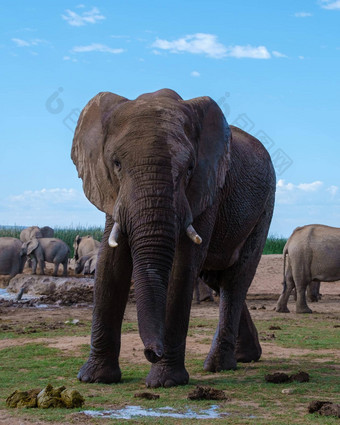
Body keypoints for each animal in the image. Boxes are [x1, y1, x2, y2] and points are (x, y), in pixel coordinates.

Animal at [71, 89, 276, 388]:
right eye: (116, 164)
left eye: (189, 168)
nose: (151, 352)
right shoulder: (112, 191)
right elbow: (111, 262)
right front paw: (94, 379)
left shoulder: (207, 188)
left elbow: (183, 264)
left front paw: (165, 382)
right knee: (216, 278)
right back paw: (246, 356)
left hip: (264, 208)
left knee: (235, 280)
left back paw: (219, 365)